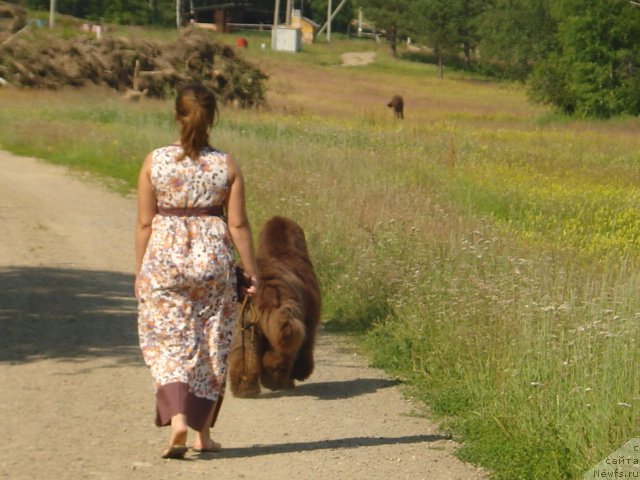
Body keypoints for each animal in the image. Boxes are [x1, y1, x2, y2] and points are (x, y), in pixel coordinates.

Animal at [229, 216, 322, 396]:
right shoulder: (310, 318)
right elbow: (306, 346)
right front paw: (301, 372)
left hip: (244, 323)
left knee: (243, 352)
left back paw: (245, 388)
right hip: (282, 316)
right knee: (283, 348)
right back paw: (275, 380)